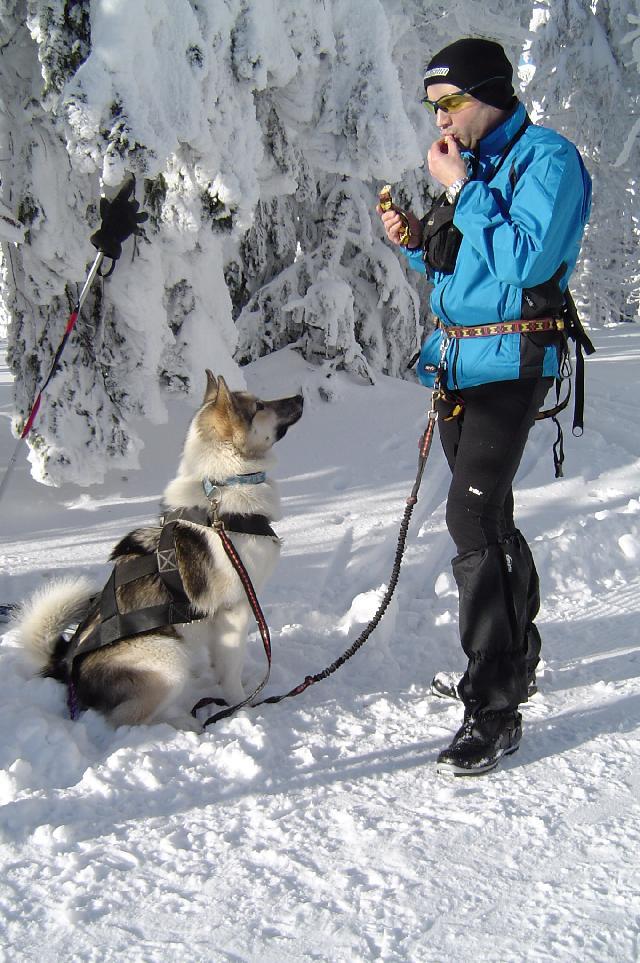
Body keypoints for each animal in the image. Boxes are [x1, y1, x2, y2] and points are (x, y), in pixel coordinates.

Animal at [14, 372, 304, 728]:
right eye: (260, 406)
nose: (301, 396)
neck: (224, 487)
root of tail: (68, 666)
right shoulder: (235, 611)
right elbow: (231, 672)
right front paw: (242, 706)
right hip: (168, 657)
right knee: (127, 720)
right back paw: (185, 724)